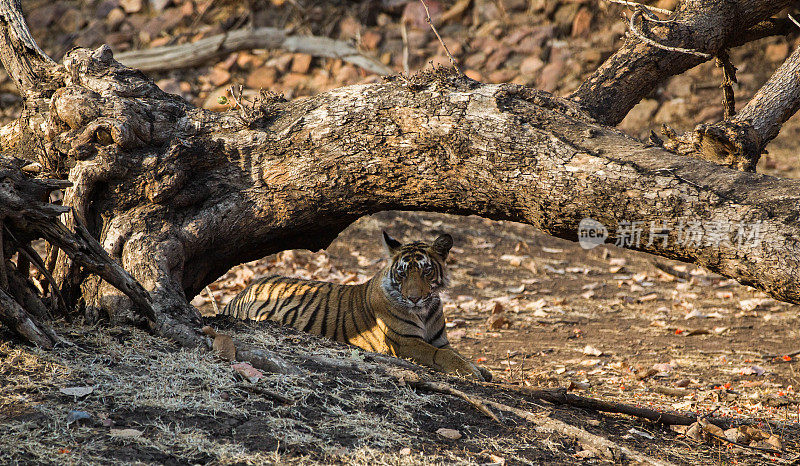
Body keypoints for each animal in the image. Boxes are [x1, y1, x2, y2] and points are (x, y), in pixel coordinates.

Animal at [222, 231, 490, 380]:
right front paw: (471, 371)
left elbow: (456, 353)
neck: (424, 311)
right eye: (402, 273)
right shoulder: (405, 342)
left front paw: (481, 370)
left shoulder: (440, 340)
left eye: (426, 271)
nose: (414, 298)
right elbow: (441, 355)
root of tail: (241, 292)